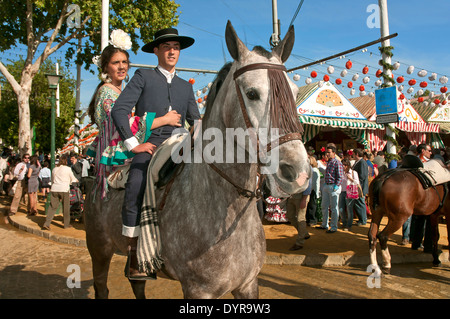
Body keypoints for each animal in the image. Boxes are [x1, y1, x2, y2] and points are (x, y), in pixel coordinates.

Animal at [84, 21, 310, 300]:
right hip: (99, 250)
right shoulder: (198, 291)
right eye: (252, 93)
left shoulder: (248, 285)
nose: (298, 173)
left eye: (295, 92)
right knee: (101, 287)